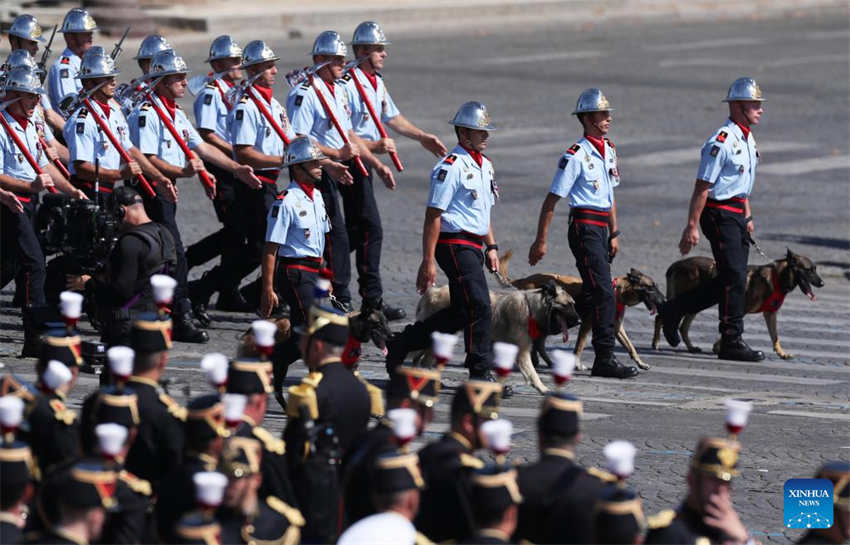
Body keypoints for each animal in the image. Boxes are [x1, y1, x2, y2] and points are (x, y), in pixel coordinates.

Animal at [652, 246, 824, 356]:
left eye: (815, 269)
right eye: (808, 270)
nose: (822, 283)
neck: (778, 277)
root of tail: (676, 265)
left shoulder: (770, 314)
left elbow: (775, 336)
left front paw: (782, 353)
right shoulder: (741, 310)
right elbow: (729, 327)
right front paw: (720, 347)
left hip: (696, 304)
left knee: (683, 327)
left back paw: (691, 347)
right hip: (690, 299)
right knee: (662, 316)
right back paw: (656, 343)